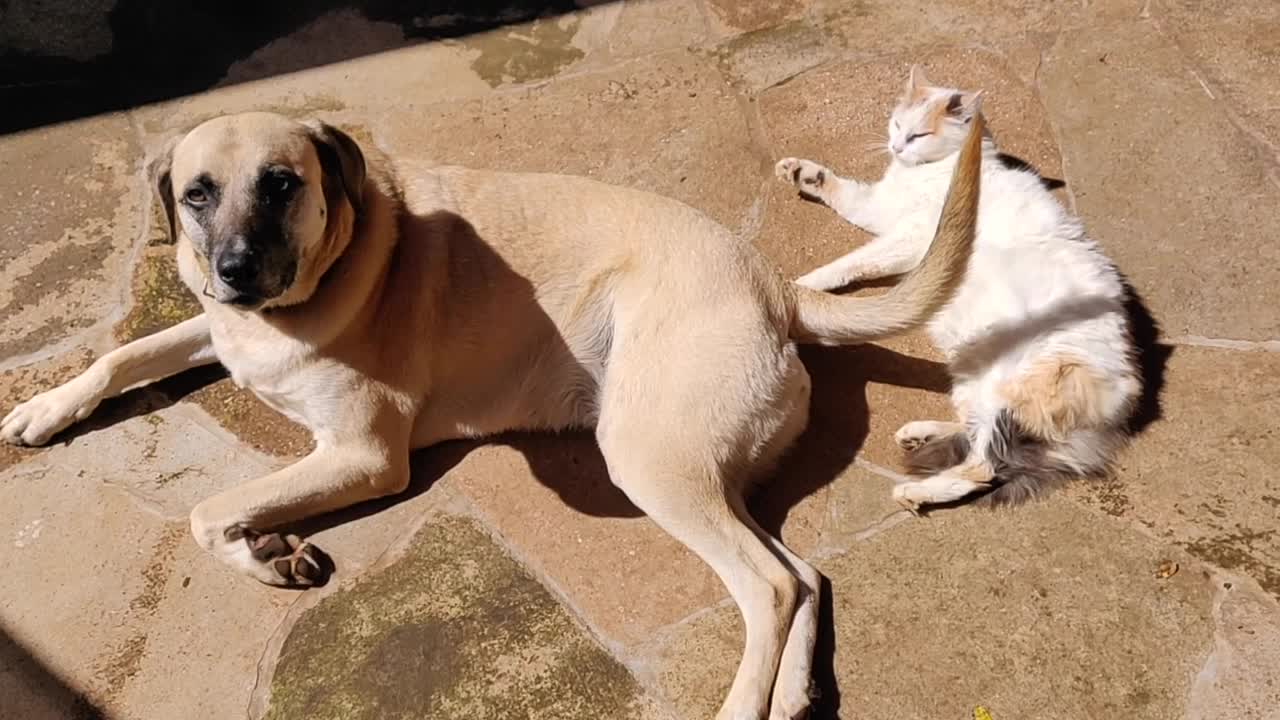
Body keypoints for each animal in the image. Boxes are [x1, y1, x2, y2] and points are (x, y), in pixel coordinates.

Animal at [2, 110, 977, 717]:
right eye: (197, 193)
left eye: (281, 183)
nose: (236, 270)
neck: (345, 255)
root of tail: (777, 287)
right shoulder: (214, 327)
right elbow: (122, 354)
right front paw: (44, 407)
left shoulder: (364, 454)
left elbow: (207, 511)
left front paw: (269, 554)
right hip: (703, 472)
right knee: (802, 574)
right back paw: (790, 693)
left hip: (646, 460)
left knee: (769, 585)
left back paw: (744, 703)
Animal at [773, 64, 1146, 507]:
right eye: (896, 124)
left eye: (919, 135)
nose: (896, 147)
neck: (932, 169)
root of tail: (1120, 398)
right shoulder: (880, 211)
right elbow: (844, 194)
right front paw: (802, 173)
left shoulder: (915, 237)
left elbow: (852, 262)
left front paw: (805, 283)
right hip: (975, 381)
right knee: (972, 437)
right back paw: (919, 435)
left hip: (1015, 393)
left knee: (982, 469)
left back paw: (914, 491)